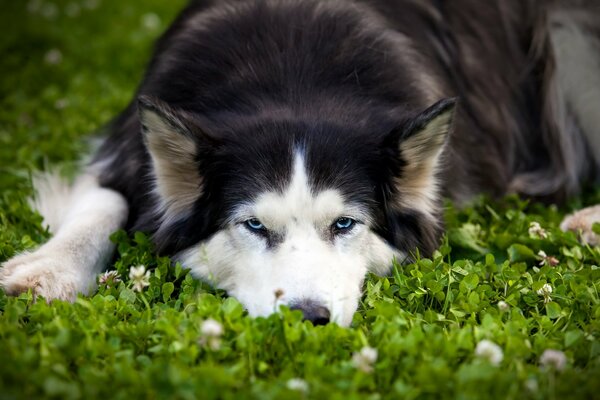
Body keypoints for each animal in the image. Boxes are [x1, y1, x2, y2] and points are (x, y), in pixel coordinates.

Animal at [1, 0, 600, 324]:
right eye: (252, 226)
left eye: (345, 225)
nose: (309, 317)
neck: (293, 77)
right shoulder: (122, 146)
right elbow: (102, 204)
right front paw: (46, 270)